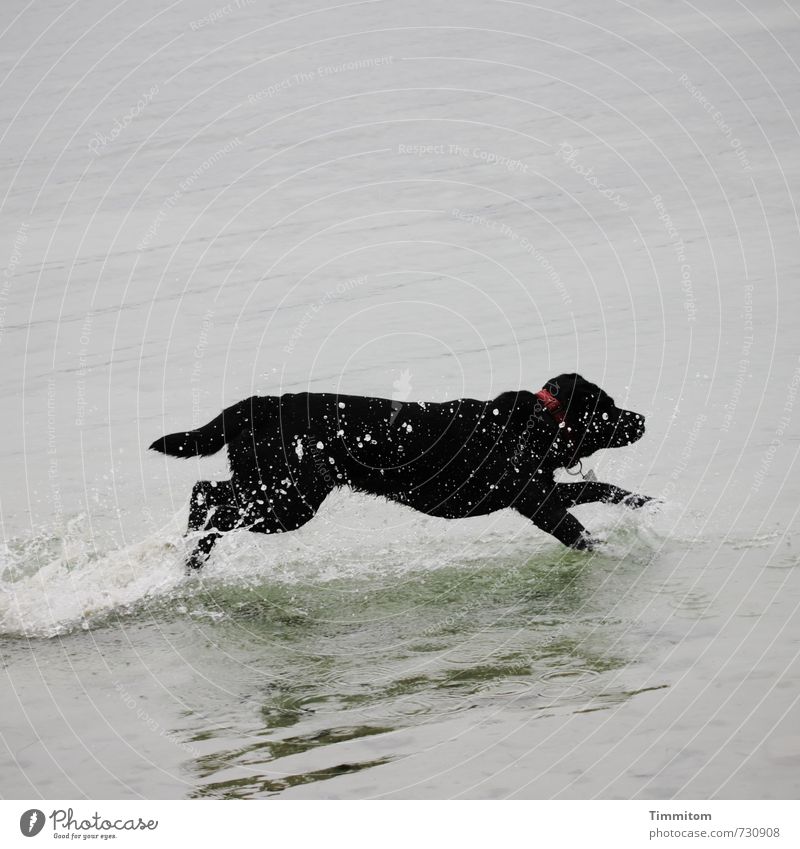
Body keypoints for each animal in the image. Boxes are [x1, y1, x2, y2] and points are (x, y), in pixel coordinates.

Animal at [148, 372, 648, 568]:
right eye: (609, 408)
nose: (642, 419)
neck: (539, 423)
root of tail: (261, 404)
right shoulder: (535, 500)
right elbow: (578, 530)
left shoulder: (537, 492)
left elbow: (602, 488)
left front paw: (644, 501)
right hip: (288, 501)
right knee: (210, 499)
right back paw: (193, 553)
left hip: (271, 490)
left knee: (208, 492)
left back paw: (190, 553)